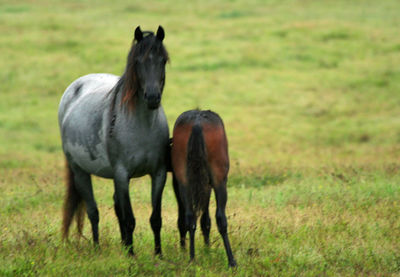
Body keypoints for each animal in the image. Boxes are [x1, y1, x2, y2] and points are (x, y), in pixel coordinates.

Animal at [57, 25, 169, 254]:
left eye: (163, 60)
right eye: (138, 62)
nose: (152, 97)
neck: (142, 126)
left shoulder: (159, 173)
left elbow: (155, 218)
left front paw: (158, 254)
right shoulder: (122, 174)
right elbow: (130, 219)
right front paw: (132, 255)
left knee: (116, 208)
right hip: (80, 172)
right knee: (93, 212)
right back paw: (97, 248)